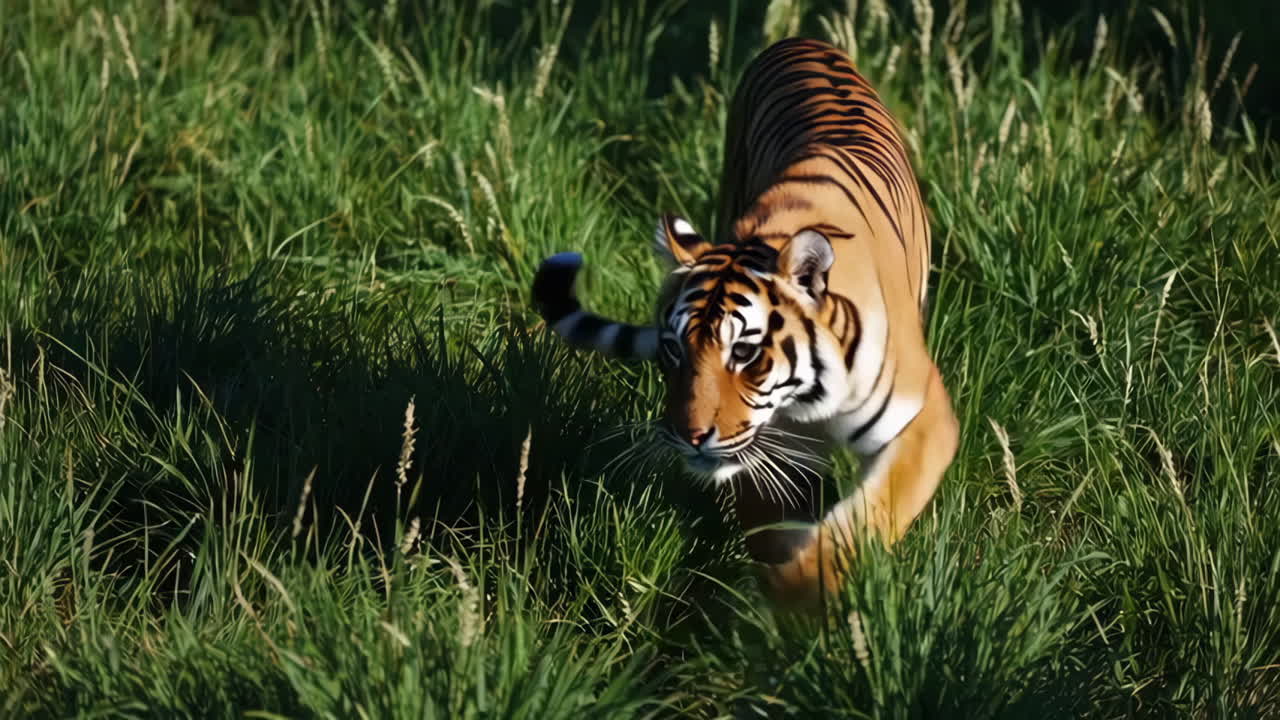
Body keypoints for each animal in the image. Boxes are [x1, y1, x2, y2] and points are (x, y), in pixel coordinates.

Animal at [531, 37, 959, 611]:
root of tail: (804, 40)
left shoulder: (925, 418)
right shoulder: (770, 459)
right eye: (674, 350)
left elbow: (872, 514)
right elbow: (774, 537)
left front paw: (805, 601)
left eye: (744, 353)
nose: (689, 436)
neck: (807, 402)